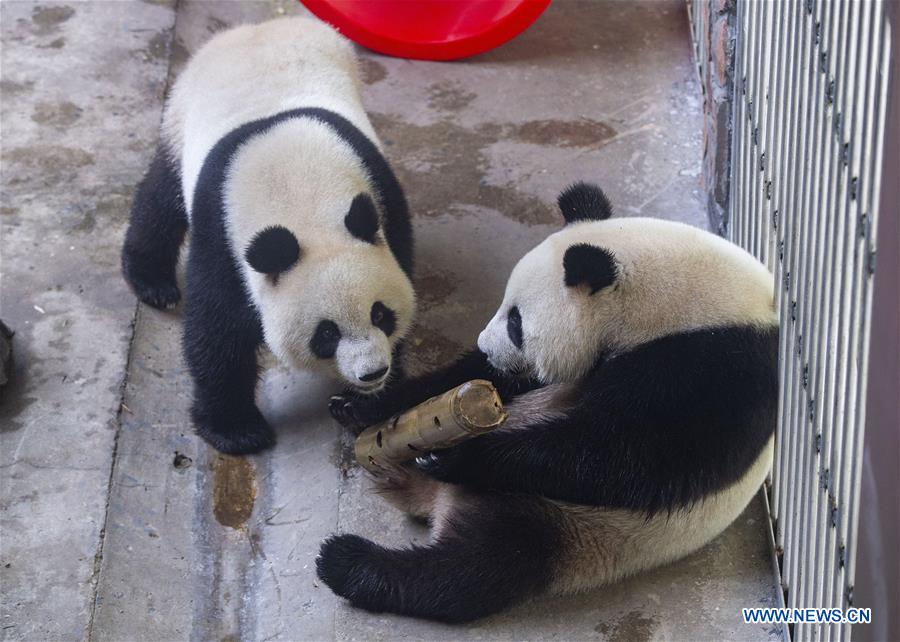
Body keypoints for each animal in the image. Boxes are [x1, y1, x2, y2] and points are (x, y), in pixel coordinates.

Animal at [119, 17, 414, 452]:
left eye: (380, 313)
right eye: (327, 333)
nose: (372, 372)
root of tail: (260, 24)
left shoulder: (383, 196)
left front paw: (364, 405)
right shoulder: (222, 231)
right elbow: (217, 330)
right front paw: (237, 430)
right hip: (181, 113)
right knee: (160, 200)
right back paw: (152, 283)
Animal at [320, 182, 776, 624]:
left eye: (516, 322)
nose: (485, 346)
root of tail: (440, 504)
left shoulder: (715, 374)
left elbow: (623, 458)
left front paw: (457, 456)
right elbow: (500, 380)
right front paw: (362, 406)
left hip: (570, 526)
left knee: (481, 567)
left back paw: (348, 562)